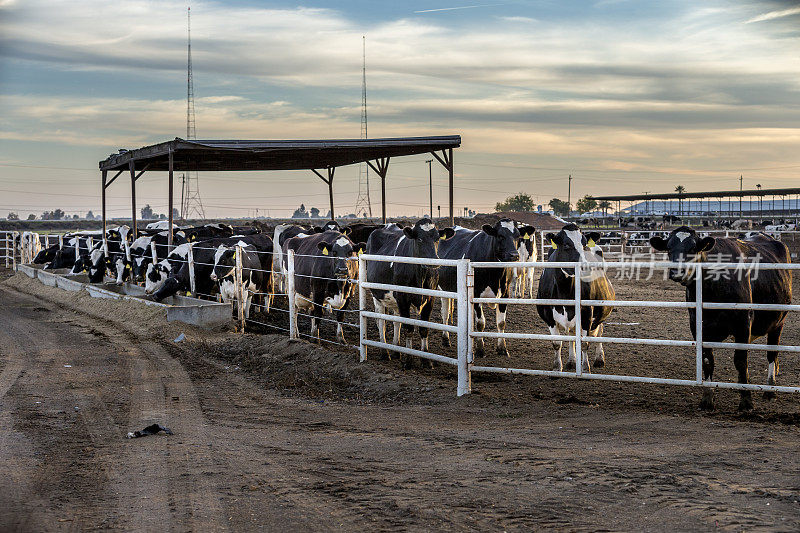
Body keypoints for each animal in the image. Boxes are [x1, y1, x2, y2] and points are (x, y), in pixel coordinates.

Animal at [366, 218, 454, 360]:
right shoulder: (403, 297)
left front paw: (425, 358)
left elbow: (423, 329)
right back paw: (385, 353)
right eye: (419, 239)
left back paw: (396, 350)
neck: (420, 276)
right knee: (381, 321)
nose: (433, 261)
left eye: (437, 239)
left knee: (396, 321)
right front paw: (408, 360)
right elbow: (408, 328)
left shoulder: (430, 298)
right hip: (377, 295)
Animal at [438, 217, 524, 358]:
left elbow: (501, 323)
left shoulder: (504, 294)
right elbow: (480, 323)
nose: (514, 255)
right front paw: (480, 349)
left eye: (517, 236)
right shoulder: (476, 293)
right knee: (445, 313)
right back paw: (445, 339)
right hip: (443, 290)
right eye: (500, 235)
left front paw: (502, 348)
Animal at [536, 223, 620, 370]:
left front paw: (585, 368)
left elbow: (585, 343)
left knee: (599, 332)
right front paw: (557, 367)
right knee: (571, 335)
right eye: (566, 245)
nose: (586, 267)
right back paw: (571, 361)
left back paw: (599, 359)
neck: (565, 292)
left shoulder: (587, 312)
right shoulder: (548, 315)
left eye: (584, 244)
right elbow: (557, 343)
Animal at [648, 227, 792, 410]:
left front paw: (746, 400)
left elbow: (740, 360)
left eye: (693, 248)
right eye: (668, 248)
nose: (676, 272)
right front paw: (707, 399)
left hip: (778, 321)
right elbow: (708, 360)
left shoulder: (743, 324)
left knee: (772, 353)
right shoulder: (697, 325)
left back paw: (770, 389)